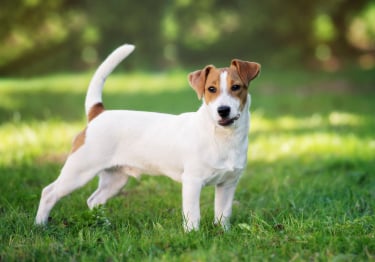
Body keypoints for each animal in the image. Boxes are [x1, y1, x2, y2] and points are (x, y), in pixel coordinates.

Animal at [35, 44, 260, 231]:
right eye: (210, 89)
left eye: (236, 87)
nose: (223, 110)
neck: (222, 137)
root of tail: (98, 114)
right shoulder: (192, 182)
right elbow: (192, 216)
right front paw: (192, 235)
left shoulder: (228, 185)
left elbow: (223, 214)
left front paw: (223, 233)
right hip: (78, 171)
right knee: (49, 193)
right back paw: (40, 226)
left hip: (115, 179)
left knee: (94, 200)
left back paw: (103, 225)